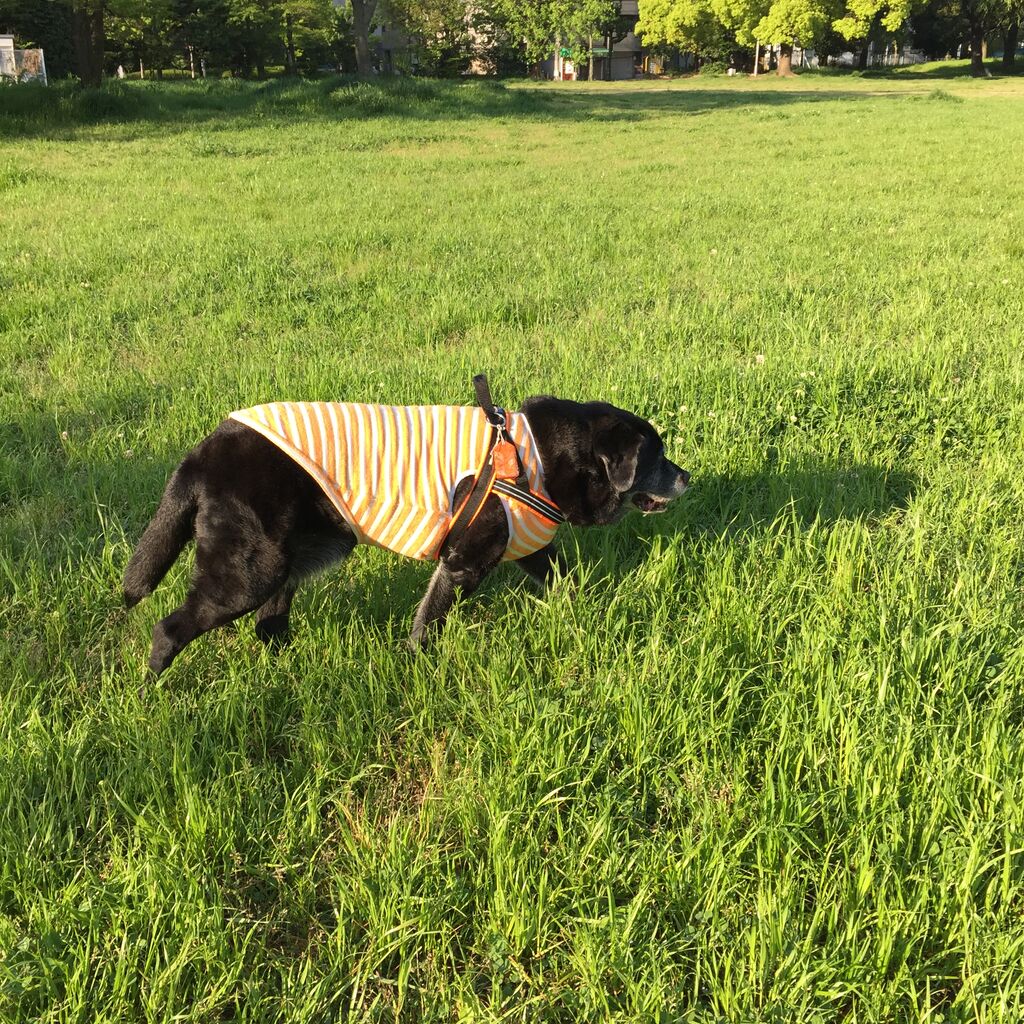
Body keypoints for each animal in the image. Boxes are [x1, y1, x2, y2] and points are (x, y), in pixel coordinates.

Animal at [124, 388, 690, 675]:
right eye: (657, 457)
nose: (687, 476)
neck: (537, 457)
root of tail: (205, 451)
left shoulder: (528, 547)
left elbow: (564, 583)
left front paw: (583, 617)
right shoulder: (463, 560)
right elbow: (429, 621)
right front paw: (419, 665)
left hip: (293, 555)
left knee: (269, 624)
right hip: (248, 571)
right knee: (170, 629)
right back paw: (153, 692)